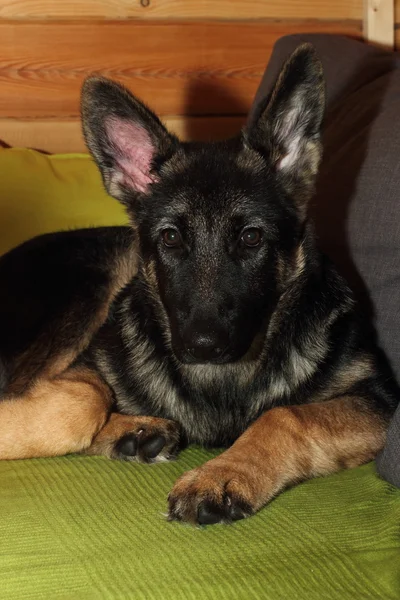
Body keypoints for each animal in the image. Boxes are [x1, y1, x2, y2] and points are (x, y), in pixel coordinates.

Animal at [0, 45, 400, 524]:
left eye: (251, 238)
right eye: (171, 238)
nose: (202, 345)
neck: (222, 379)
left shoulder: (379, 401)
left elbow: (286, 416)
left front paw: (224, 473)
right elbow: (80, 401)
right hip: (99, 280)